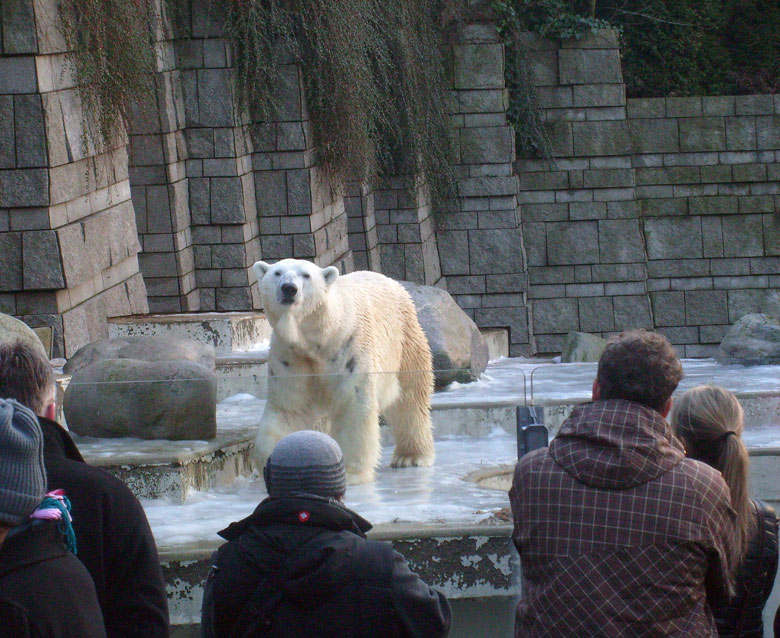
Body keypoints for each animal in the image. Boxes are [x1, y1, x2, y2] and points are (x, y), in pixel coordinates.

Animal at [251, 260, 432, 484]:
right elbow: (288, 409)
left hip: (404, 339)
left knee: (411, 397)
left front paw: (352, 472)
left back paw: (411, 457)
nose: (289, 289)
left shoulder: (349, 349)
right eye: (277, 273)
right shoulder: (290, 357)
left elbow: (353, 405)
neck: (318, 337)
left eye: (306, 275)